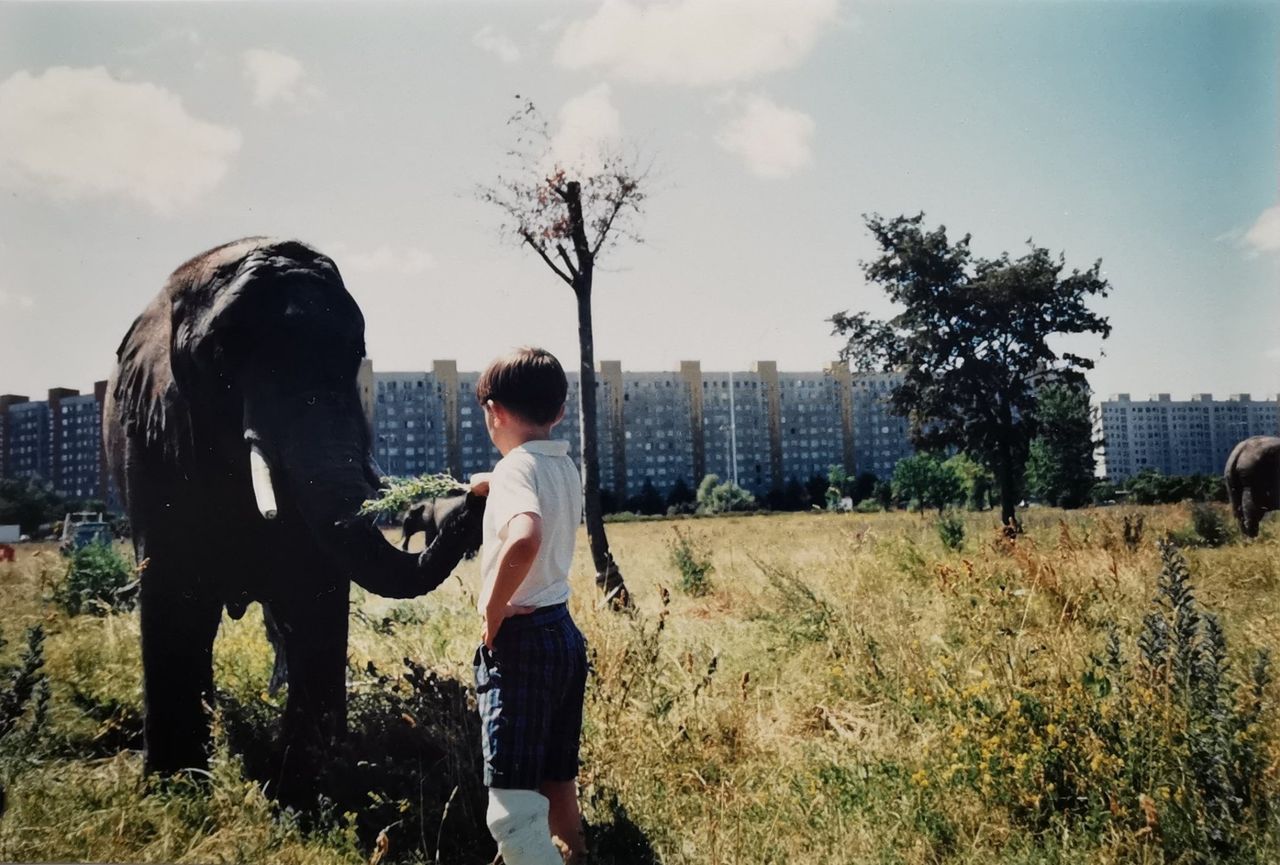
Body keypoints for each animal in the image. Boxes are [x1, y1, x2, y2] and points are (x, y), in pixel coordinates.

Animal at [103, 236, 483, 788]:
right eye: (225, 350)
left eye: (355, 355)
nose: (475, 496)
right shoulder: (155, 436)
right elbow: (173, 588)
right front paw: (174, 784)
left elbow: (316, 588)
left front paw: (310, 774)